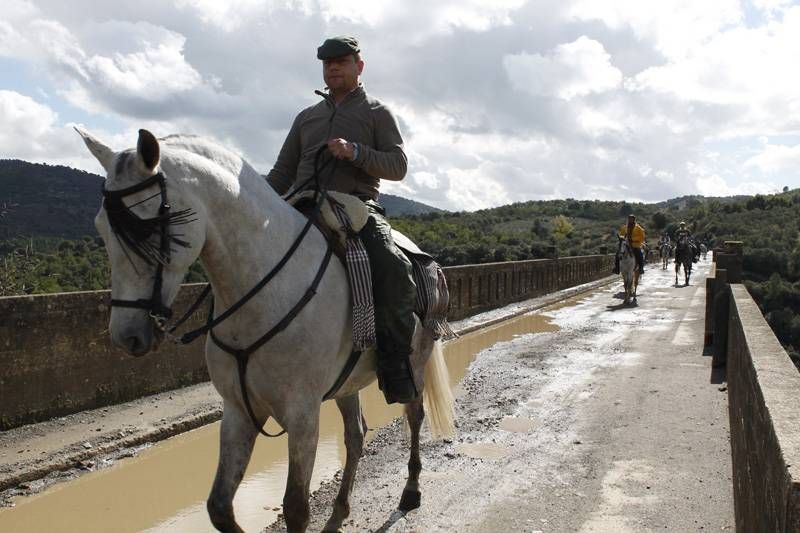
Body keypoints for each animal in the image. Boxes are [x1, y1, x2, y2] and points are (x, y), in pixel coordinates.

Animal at [81, 129, 460, 532]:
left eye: (150, 225)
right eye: (101, 226)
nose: (127, 335)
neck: (260, 292)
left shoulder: (303, 414)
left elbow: (295, 507)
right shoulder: (238, 410)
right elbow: (219, 506)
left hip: (414, 365)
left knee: (414, 416)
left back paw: (410, 492)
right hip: (347, 383)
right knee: (356, 436)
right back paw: (337, 515)